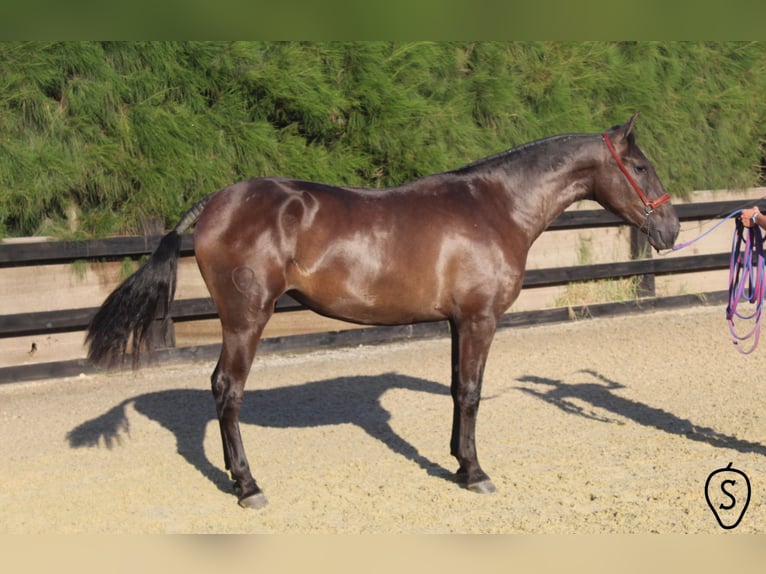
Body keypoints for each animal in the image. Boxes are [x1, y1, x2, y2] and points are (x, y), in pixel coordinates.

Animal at [86, 112, 680, 509]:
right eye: (640, 165)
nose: (671, 229)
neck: (495, 208)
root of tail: (215, 202)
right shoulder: (480, 319)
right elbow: (472, 392)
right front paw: (476, 472)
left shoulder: (457, 322)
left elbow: (456, 390)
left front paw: (458, 463)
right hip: (245, 320)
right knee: (226, 391)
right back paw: (248, 486)